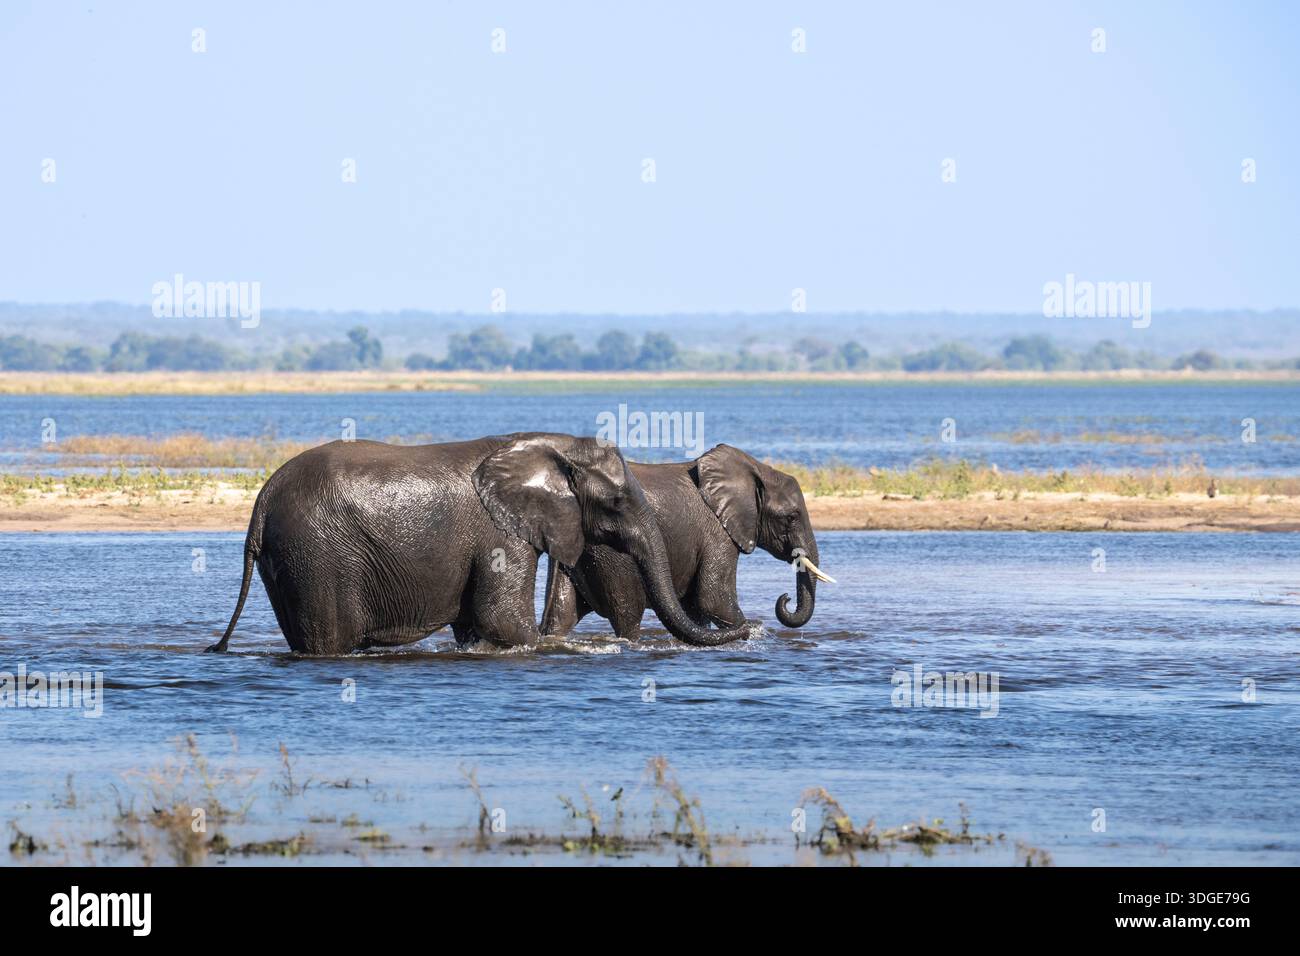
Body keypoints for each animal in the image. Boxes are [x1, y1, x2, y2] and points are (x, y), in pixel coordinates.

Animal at [207, 433, 752, 655]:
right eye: (617, 502)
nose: (749, 631)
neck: (546, 446)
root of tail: (261, 503)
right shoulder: (501, 535)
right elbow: (503, 620)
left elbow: (478, 625)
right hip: (315, 554)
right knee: (329, 639)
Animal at [540, 443, 832, 641]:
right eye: (791, 517)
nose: (784, 598)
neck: (756, 470)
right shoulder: (717, 533)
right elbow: (713, 599)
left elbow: (698, 610)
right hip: (609, 553)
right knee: (627, 616)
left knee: (560, 616)